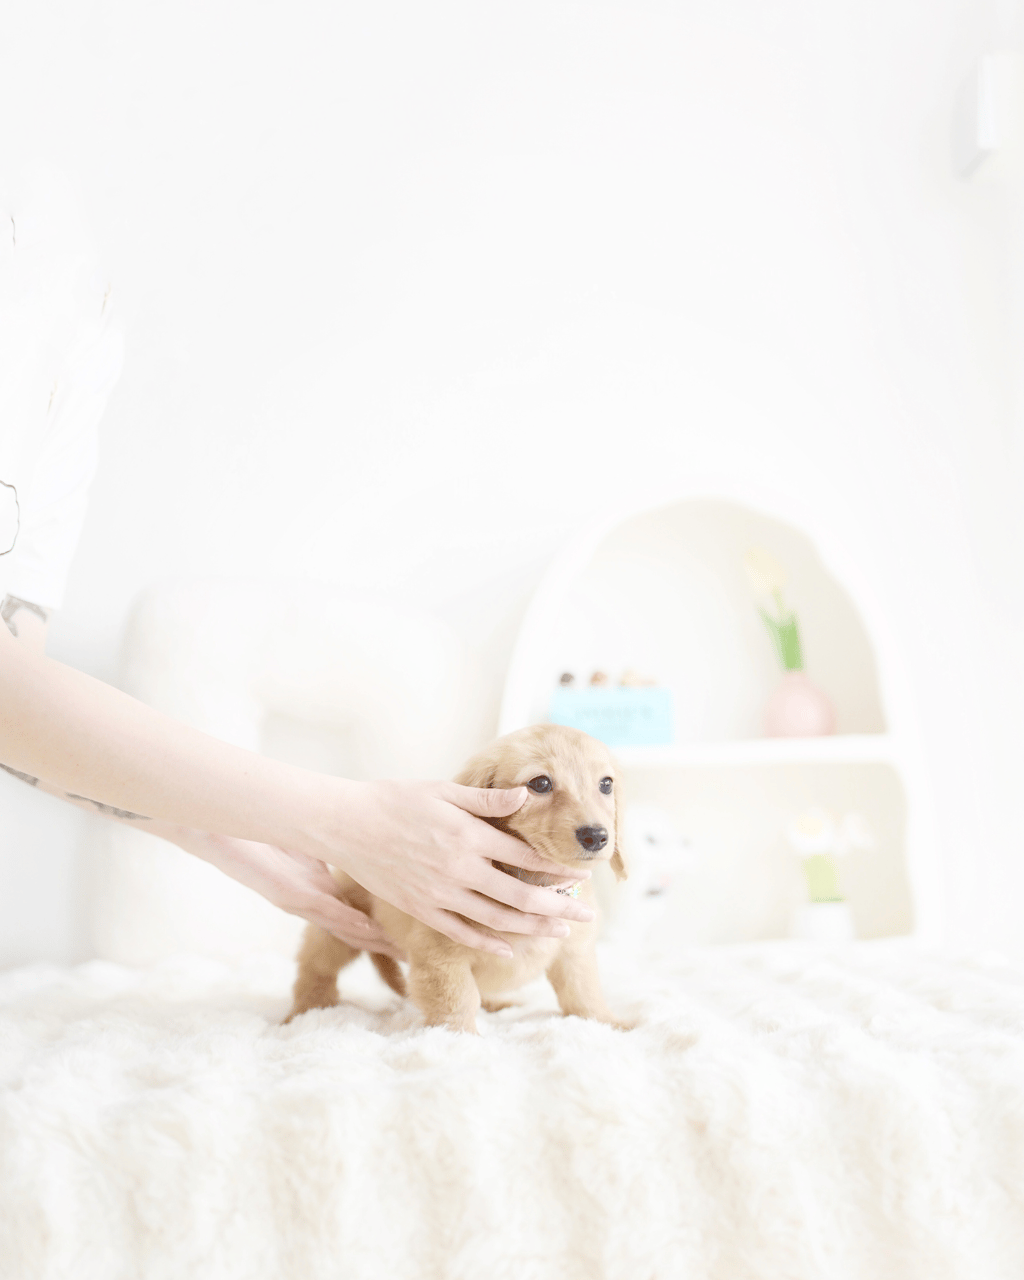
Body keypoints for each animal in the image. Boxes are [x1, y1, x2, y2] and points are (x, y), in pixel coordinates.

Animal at [286, 723, 628, 1033]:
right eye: (541, 783)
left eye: (606, 784)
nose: (596, 836)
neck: (538, 883)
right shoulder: (441, 958)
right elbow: (459, 1000)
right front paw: (460, 1040)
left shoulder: (574, 952)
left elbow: (582, 993)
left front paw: (608, 1022)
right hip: (338, 929)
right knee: (315, 968)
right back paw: (307, 1010)